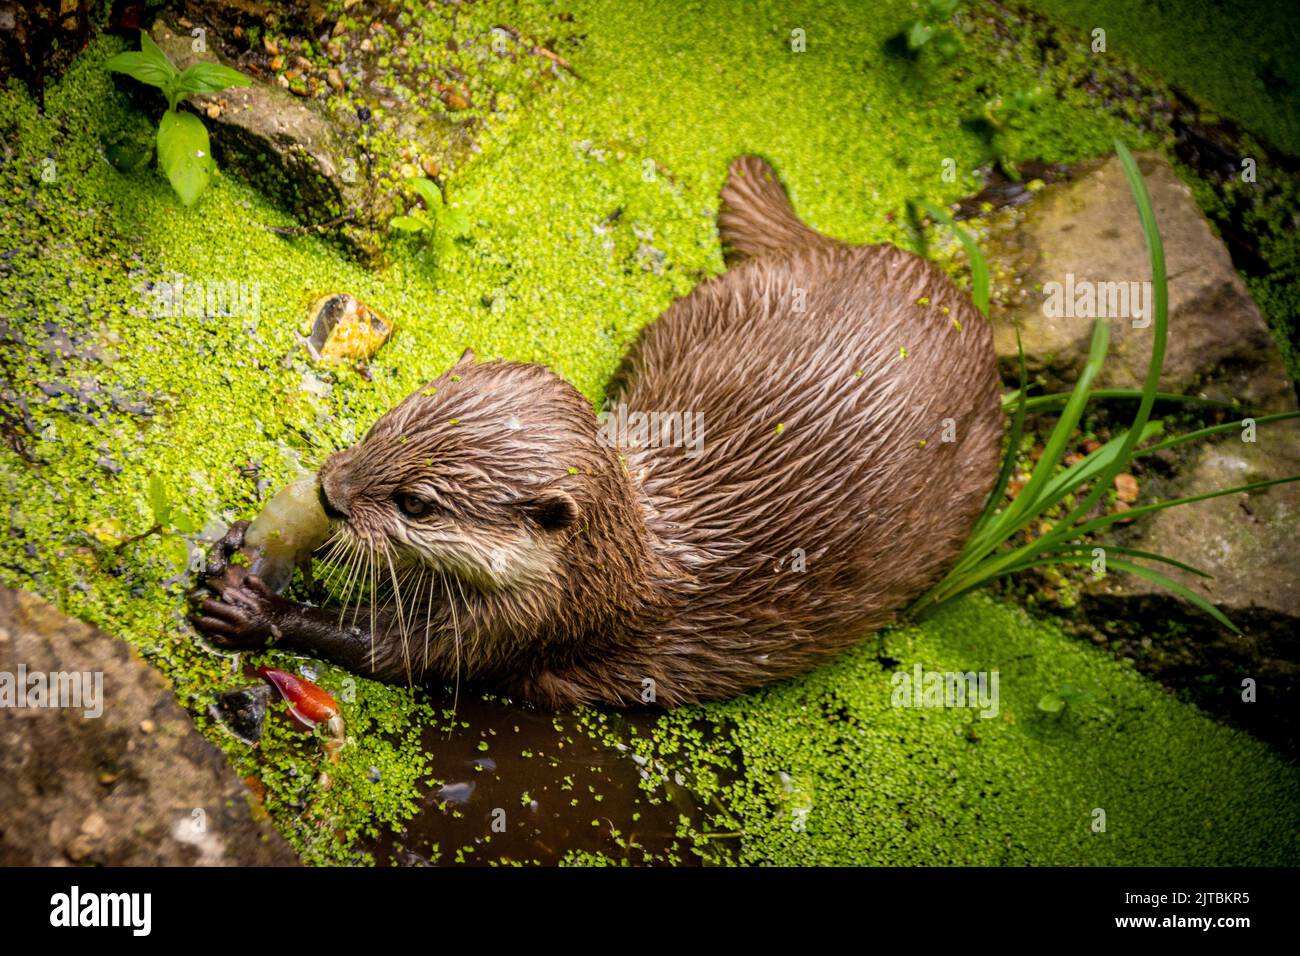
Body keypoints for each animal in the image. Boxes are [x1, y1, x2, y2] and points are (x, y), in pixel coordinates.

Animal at [193, 156, 1002, 708]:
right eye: (381, 424)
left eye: (416, 504)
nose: (331, 492)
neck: (612, 569)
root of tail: (914, 267)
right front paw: (238, 539)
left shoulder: (527, 624)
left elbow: (396, 654)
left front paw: (256, 611)